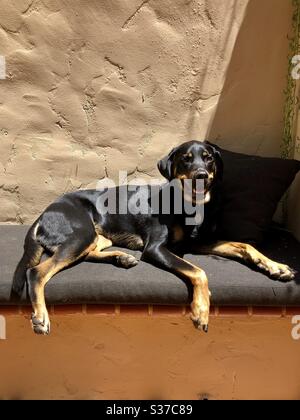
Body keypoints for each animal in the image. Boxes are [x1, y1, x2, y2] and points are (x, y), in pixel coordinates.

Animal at [12, 141, 296, 334]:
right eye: (186, 159)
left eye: (208, 159)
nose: (201, 176)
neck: (189, 206)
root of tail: (45, 212)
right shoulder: (156, 248)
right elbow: (198, 271)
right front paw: (201, 309)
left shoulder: (199, 242)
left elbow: (244, 245)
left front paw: (277, 267)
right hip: (81, 233)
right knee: (37, 272)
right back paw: (41, 317)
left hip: (96, 236)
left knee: (90, 252)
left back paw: (122, 258)